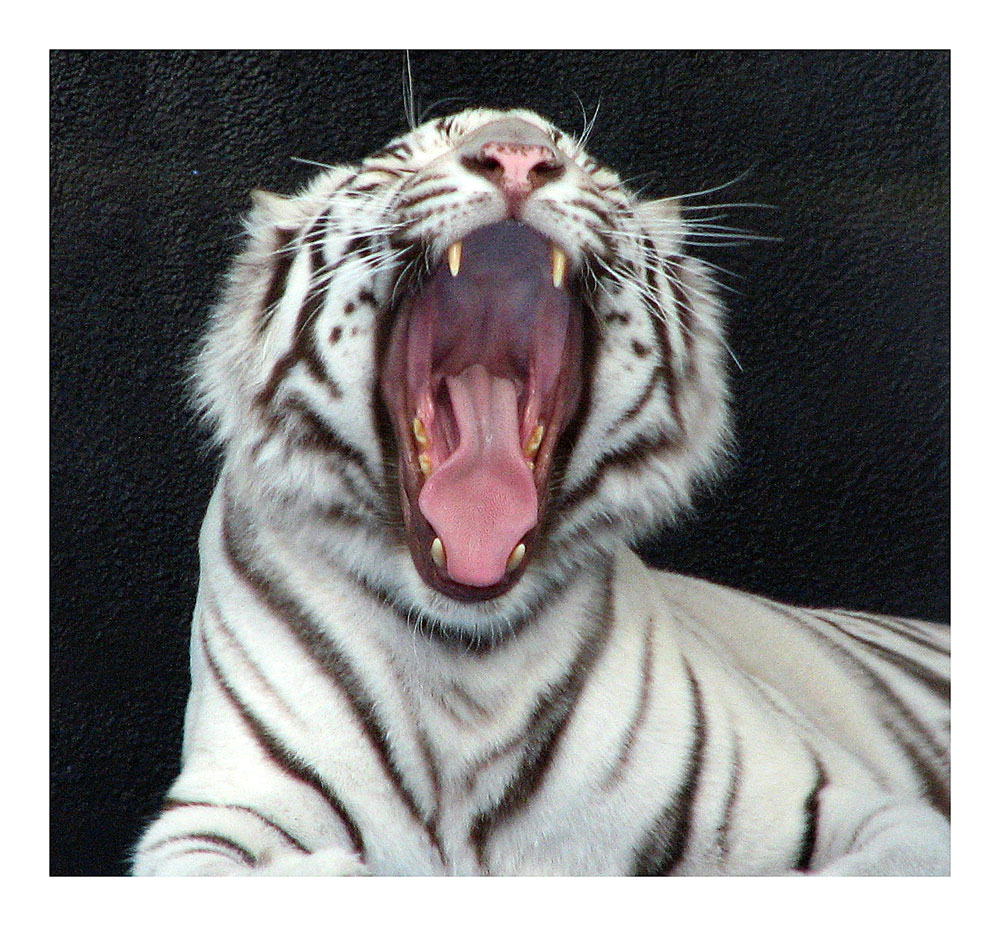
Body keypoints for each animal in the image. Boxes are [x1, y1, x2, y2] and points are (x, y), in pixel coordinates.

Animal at [131, 109, 944, 876]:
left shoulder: (866, 809)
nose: (518, 157)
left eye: (584, 160)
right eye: (405, 155)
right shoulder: (213, 816)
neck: (465, 663)